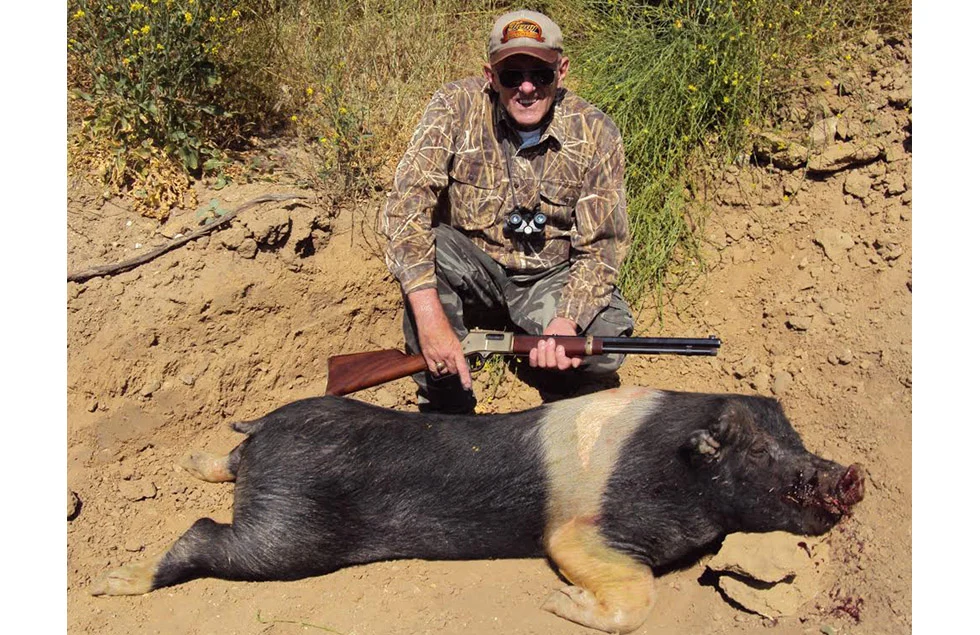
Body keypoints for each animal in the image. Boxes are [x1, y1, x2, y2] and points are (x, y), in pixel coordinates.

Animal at [90, 387, 864, 633]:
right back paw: (109, 584)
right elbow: (633, 590)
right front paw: (556, 603)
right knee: (202, 532)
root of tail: (264, 435)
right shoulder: (580, 531)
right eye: (757, 454)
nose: (851, 474)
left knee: (218, 467)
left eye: (795, 437)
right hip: (290, 532)